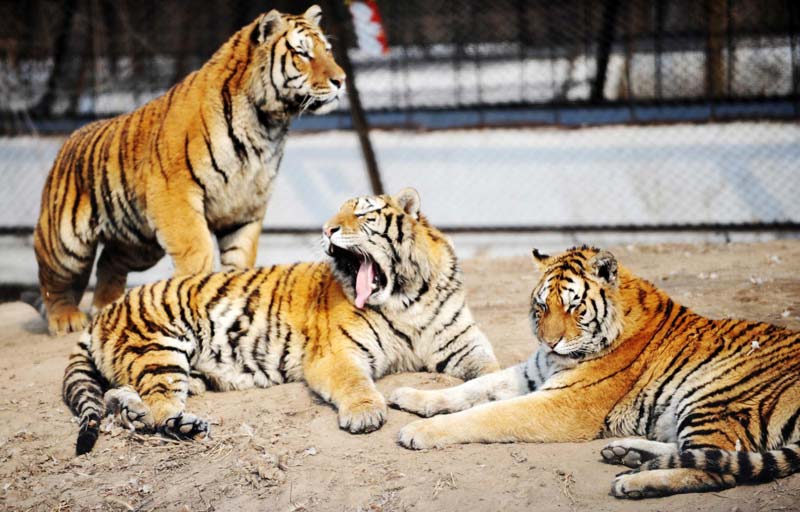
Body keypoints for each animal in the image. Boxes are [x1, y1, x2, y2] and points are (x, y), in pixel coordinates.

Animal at [32, 5, 345, 336]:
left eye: (327, 50)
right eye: (303, 54)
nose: (342, 80)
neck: (267, 125)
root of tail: (70, 138)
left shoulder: (246, 206)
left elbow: (240, 259)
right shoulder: (176, 195)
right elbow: (198, 253)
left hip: (140, 243)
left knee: (109, 261)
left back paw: (106, 305)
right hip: (64, 242)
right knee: (52, 277)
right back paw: (65, 319)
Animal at [62, 188, 500, 455]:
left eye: (362, 213)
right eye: (337, 213)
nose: (327, 228)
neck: (407, 297)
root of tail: (103, 312)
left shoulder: (464, 342)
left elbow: (489, 371)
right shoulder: (336, 354)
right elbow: (355, 383)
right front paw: (364, 413)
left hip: (181, 371)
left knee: (122, 397)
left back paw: (136, 412)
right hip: (160, 351)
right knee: (156, 409)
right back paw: (182, 426)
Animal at [390, 245, 800, 499]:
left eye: (574, 307)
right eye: (542, 306)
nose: (549, 341)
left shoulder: (564, 402)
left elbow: (487, 413)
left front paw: (419, 431)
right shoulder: (533, 373)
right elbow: (474, 388)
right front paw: (409, 396)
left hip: (715, 395)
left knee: (721, 466)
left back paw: (635, 481)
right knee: (703, 452)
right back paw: (628, 453)